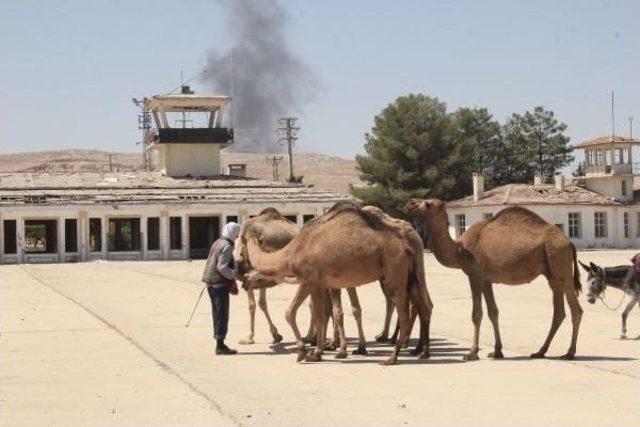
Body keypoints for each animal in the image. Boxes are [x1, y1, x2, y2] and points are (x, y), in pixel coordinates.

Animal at [238, 202, 428, 366]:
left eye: (241, 242)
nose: (243, 275)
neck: (292, 252)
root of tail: (408, 247)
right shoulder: (320, 283)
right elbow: (320, 314)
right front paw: (317, 351)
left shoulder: (309, 280)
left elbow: (293, 313)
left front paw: (305, 351)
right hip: (411, 276)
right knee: (422, 306)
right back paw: (419, 351)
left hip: (395, 273)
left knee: (403, 311)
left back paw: (392, 357)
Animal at [404, 201, 584, 362]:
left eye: (428, 204)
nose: (410, 204)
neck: (459, 249)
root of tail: (569, 242)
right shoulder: (486, 280)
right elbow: (493, 312)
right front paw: (497, 351)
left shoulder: (474, 275)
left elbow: (476, 314)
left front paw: (471, 353)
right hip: (552, 273)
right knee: (559, 311)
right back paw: (540, 352)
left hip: (560, 263)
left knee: (576, 309)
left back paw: (569, 353)